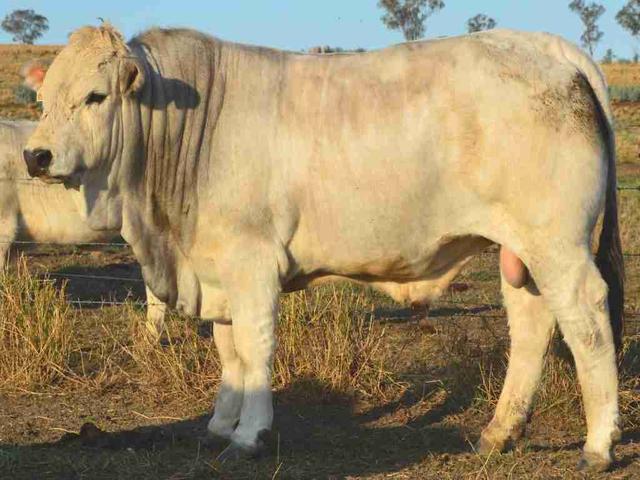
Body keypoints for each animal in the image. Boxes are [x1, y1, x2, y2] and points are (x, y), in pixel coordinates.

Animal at [24, 24, 624, 471]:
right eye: (44, 99)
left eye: (95, 96)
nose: (36, 156)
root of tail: (546, 46)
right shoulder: (216, 268)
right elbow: (228, 350)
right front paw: (218, 424)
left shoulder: (251, 263)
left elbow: (256, 348)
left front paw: (249, 433)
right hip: (519, 248)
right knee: (531, 324)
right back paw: (499, 432)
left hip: (558, 244)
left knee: (588, 321)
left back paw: (598, 444)